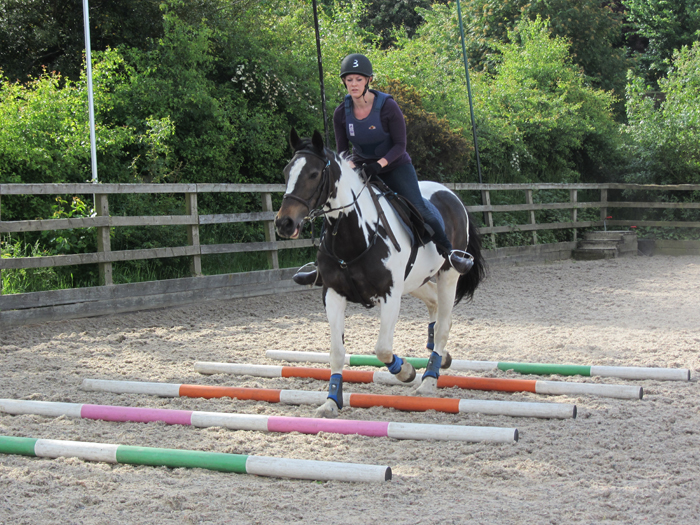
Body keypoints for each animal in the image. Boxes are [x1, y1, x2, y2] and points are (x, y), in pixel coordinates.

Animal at [274, 128, 486, 418]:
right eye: (287, 172)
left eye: (314, 174)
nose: (284, 223)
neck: (355, 234)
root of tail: (450, 194)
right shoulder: (333, 294)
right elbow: (337, 352)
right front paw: (331, 402)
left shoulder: (390, 295)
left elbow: (383, 349)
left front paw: (406, 371)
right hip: (415, 280)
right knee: (435, 306)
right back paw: (440, 357)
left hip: (448, 274)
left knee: (444, 323)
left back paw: (428, 380)